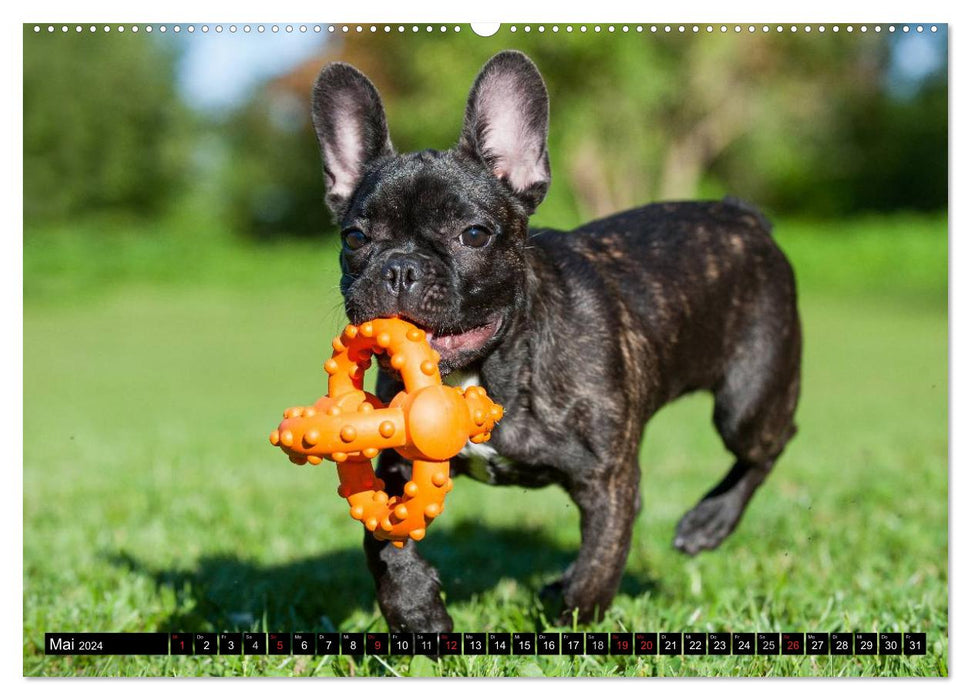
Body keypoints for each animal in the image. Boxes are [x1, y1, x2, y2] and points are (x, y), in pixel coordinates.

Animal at [308, 49, 800, 628]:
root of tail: (743, 214)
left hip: (748, 402)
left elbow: (597, 568)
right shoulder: (393, 465)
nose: (400, 268)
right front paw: (416, 611)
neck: (489, 370)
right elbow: (384, 544)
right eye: (354, 238)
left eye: (473, 235)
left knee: (768, 444)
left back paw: (709, 521)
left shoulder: (606, 480)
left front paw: (571, 627)